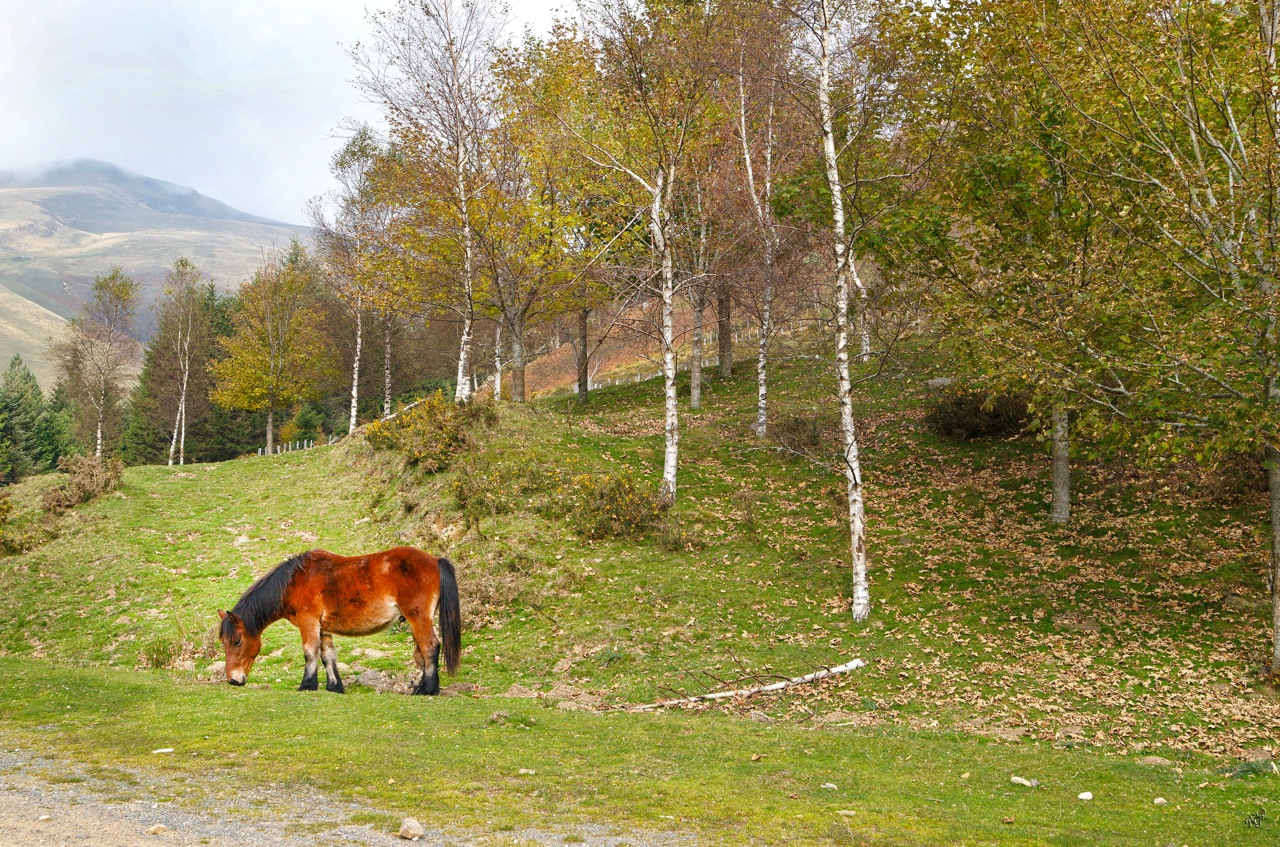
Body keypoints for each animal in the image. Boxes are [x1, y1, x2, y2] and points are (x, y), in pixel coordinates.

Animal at [217, 550, 463, 696]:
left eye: (237, 641)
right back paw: (421, 687)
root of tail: (435, 560)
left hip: (418, 618)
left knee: (430, 648)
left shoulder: (308, 623)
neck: (295, 580)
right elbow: (327, 656)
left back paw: (428, 689)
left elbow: (310, 653)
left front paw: (307, 685)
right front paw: (334, 686)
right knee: (421, 654)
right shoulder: (323, 628)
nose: (233, 680)